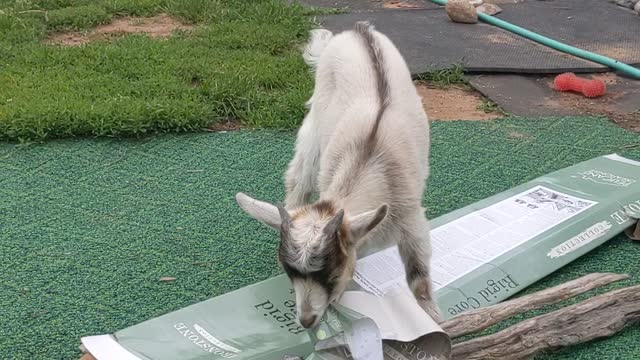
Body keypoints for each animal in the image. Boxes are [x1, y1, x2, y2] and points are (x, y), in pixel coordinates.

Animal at [235, 21, 440, 328]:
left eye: (331, 272)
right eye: (289, 273)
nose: (307, 320)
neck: (369, 160)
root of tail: (358, 30)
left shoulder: (411, 220)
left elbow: (420, 282)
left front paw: (432, 318)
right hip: (315, 123)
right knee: (299, 177)